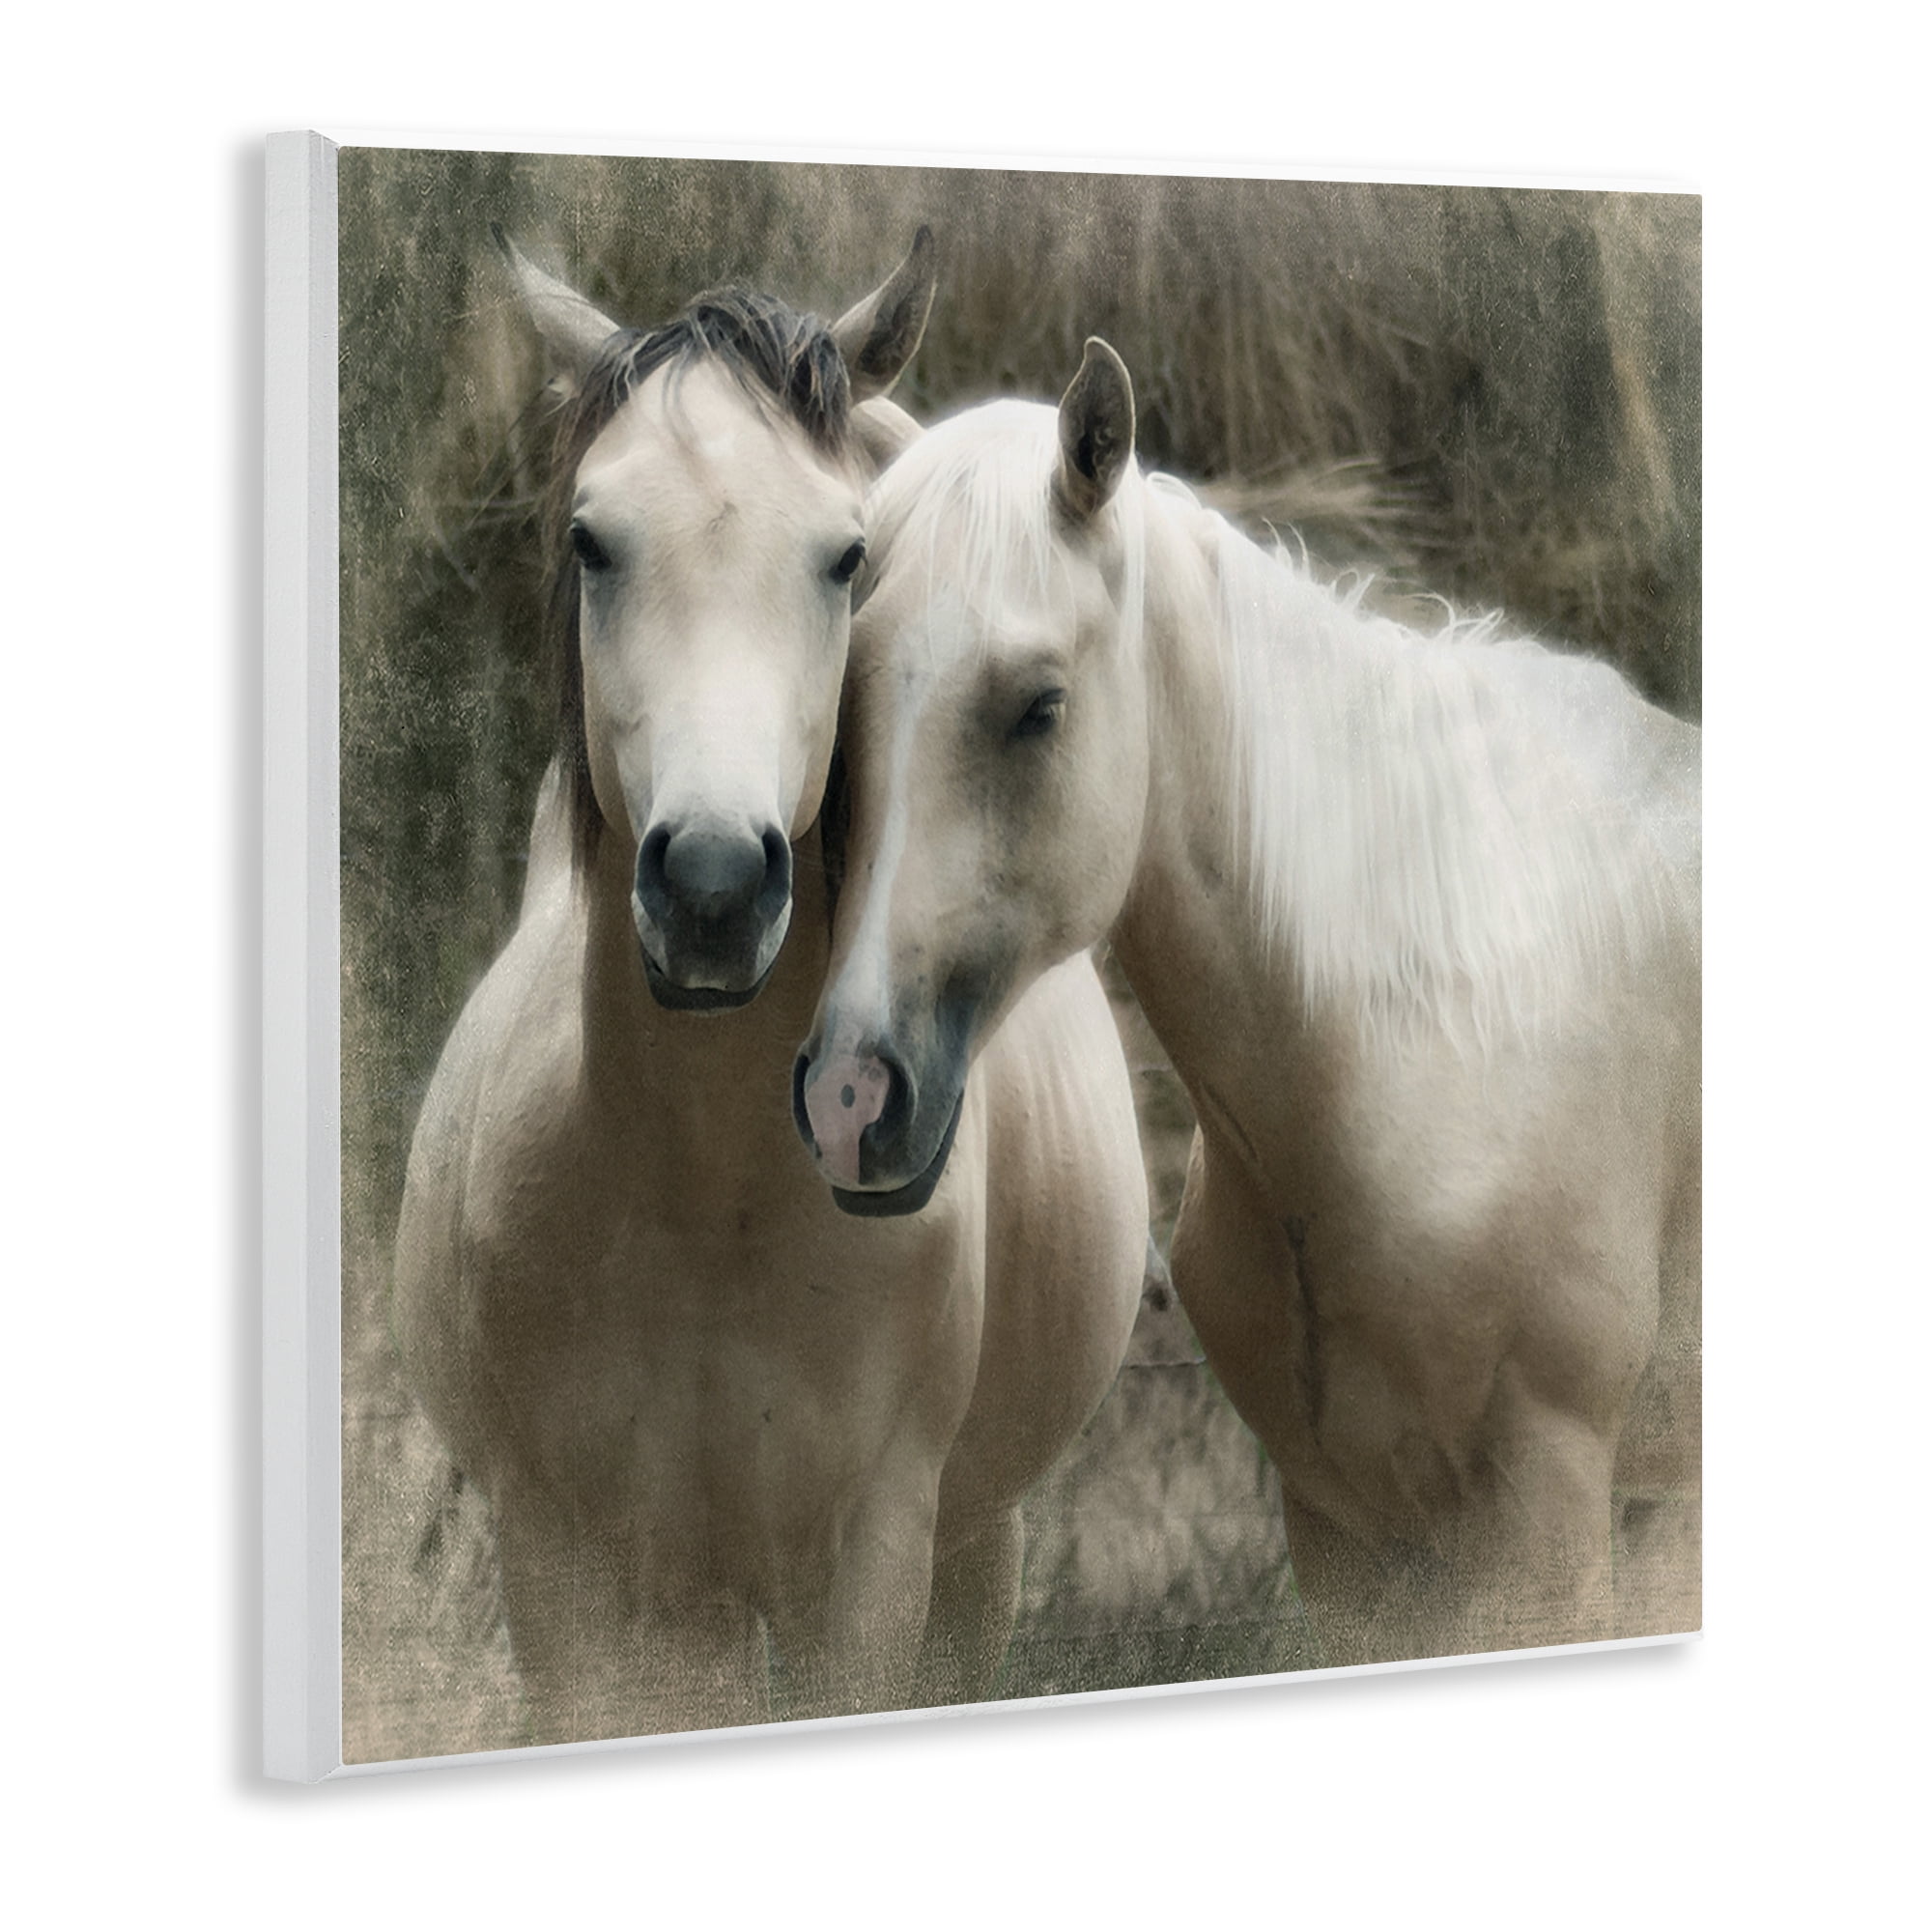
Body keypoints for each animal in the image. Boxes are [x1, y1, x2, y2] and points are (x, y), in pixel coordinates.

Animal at [391, 248, 1148, 1742]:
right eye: (591, 540)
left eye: (845, 556)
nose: (713, 884)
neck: (703, 1201)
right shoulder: (568, 1580)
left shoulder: (868, 1571)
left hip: (972, 1549)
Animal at [795, 339, 1700, 1668]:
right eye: (841, 714)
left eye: (1038, 704)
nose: (852, 1096)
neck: (1435, 1041)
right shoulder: (1346, 1534)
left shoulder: (1547, 1523)